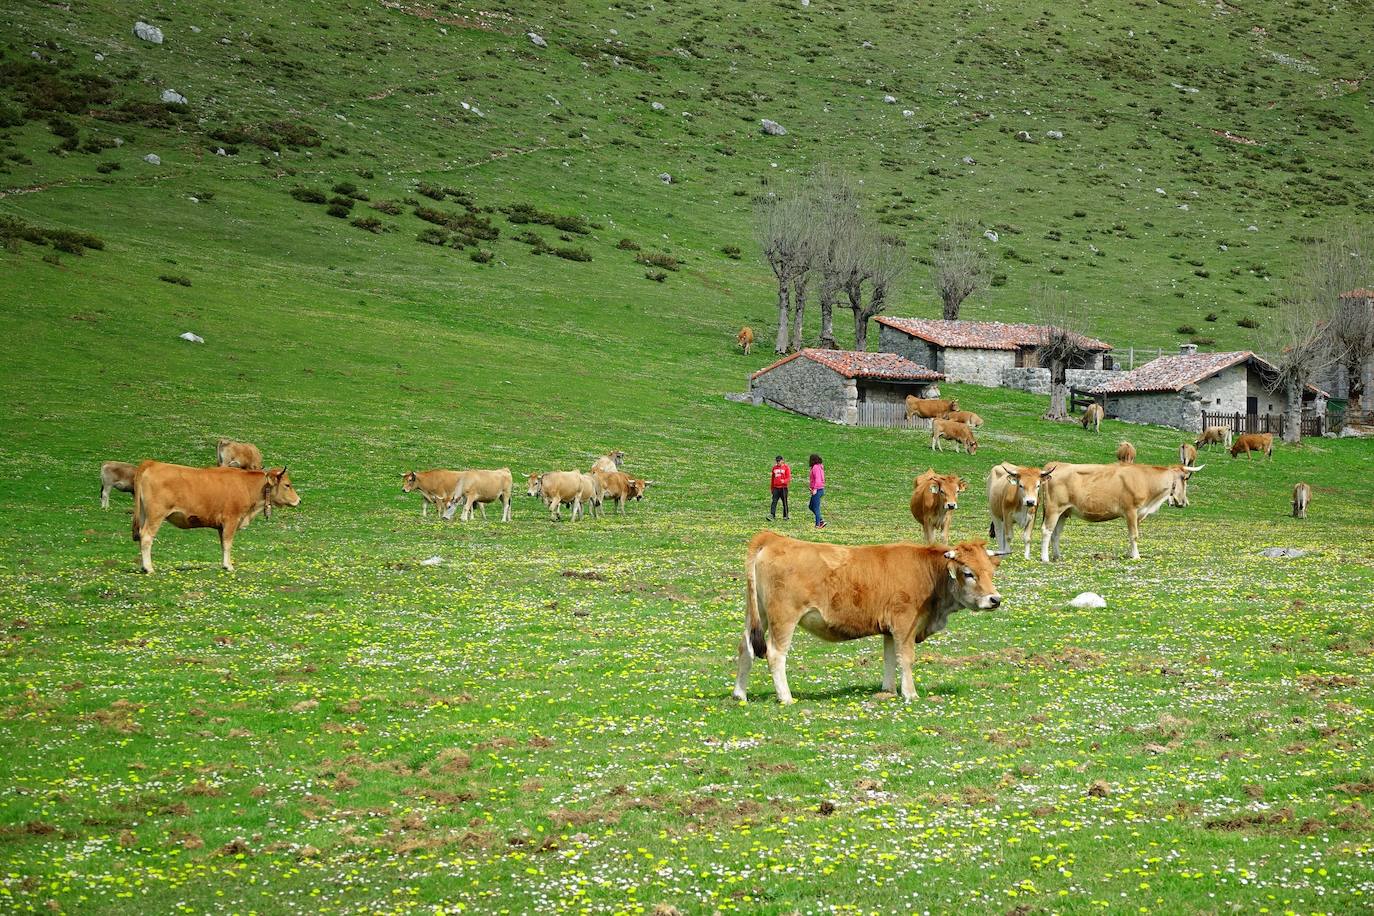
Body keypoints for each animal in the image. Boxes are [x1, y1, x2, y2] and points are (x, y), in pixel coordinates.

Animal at [131, 466, 298, 574]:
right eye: (287, 485)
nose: (299, 500)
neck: (246, 486)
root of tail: (152, 464)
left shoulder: (221, 526)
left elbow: (223, 544)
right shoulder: (231, 520)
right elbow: (228, 543)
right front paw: (229, 566)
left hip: (144, 515)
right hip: (155, 516)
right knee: (146, 537)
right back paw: (149, 568)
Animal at [736, 527, 1005, 708]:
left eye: (990, 572)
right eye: (968, 573)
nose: (995, 599)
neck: (926, 571)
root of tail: (773, 538)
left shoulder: (889, 629)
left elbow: (890, 658)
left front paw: (888, 691)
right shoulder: (904, 623)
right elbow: (906, 658)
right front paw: (910, 693)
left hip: (757, 614)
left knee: (745, 648)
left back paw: (740, 694)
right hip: (783, 618)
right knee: (775, 654)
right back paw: (786, 697)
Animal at [1038, 461, 1203, 563]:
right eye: (1185, 478)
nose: (1184, 502)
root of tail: (1056, 465)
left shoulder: (1138, 514)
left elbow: (1133, 535)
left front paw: (1130, 554)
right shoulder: (1130, 510)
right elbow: (1134, 535)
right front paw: (1136, 556)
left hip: (1064, 511)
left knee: (1056, 534)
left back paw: (1058, 556)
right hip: (1054, 508)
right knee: (1046, 530)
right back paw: (1045, 558)